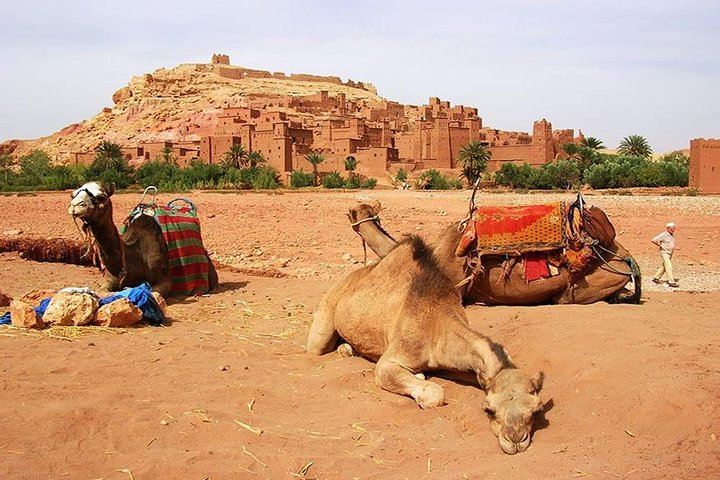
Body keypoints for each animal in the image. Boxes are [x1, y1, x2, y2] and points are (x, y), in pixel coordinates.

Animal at [69, 182, 218, 298]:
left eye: (101, 197)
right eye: (73, 194)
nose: (75, 205)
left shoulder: (164, 280)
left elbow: (154, 291)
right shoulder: (110, 280)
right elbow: (102, 291)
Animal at [306, 238, 544, 456]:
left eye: (536, 410)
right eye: (489, 409)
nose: (515, 439)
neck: (436, 325)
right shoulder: (390, 360)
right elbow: (433, 393)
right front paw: (421, 387)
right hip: (326, 314)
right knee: (317, 346)